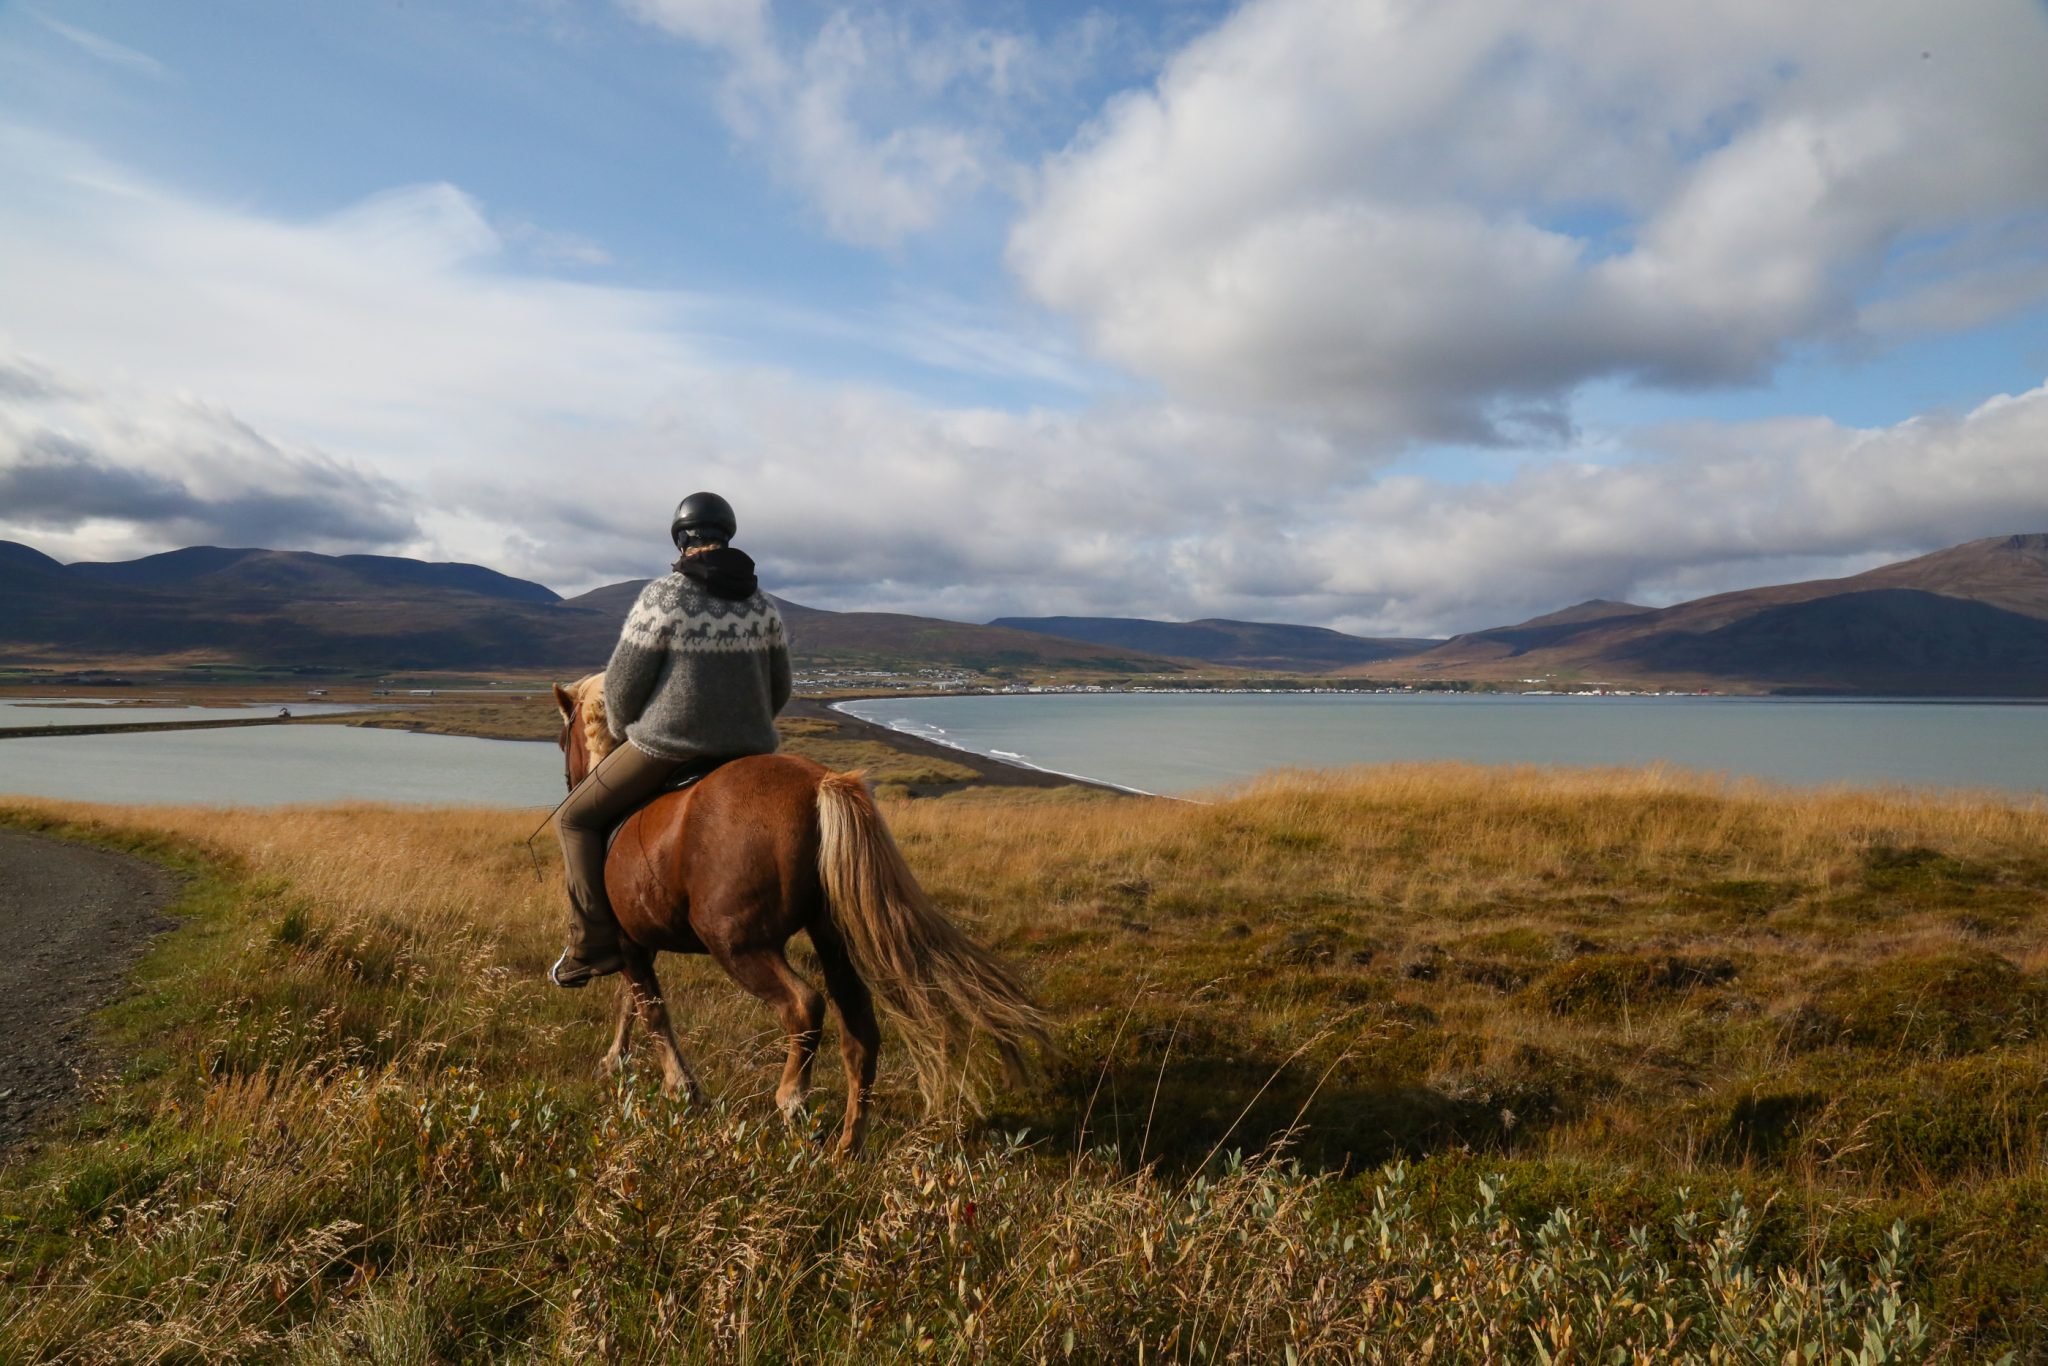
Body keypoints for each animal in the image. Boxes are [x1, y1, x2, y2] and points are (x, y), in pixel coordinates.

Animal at [550, 675, 1047, 1156]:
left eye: (560, 740)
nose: (570, 782)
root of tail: (818, 784)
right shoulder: (638, 942)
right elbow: (632, 1003)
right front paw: (618, 1062)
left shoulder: (629, 943)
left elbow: (650, 1010)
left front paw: (680, 1089)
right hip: (831, 938)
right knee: (860, 1029)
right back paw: (849, 1144)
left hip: (738, 944)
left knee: (804, 1006)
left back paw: (792, 1101)